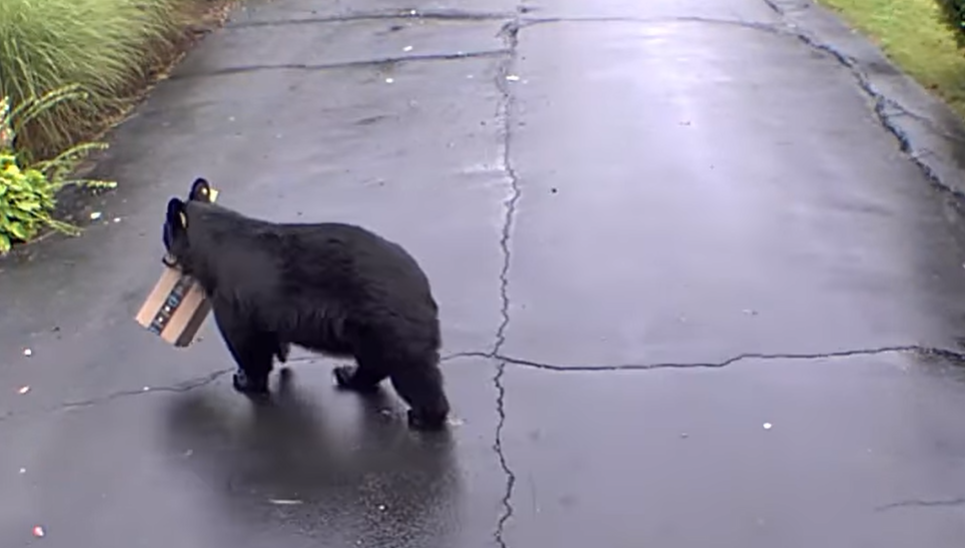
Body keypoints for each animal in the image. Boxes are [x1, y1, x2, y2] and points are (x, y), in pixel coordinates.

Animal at [161, 177, 451, 431]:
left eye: (165, 232)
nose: (165, 259)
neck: (213, 249)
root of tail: (421, 284)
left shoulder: (232, 296)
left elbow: (246, 343)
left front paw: (245, 380)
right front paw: (280, 353)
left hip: (386, 323)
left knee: (411, 371)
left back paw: (423, 417)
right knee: (375, 361)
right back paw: (348, 375)